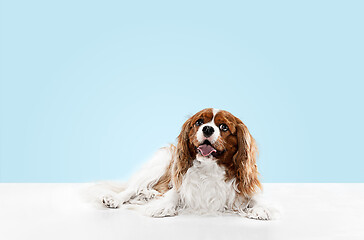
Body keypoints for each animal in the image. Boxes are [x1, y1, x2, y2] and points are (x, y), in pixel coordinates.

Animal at [101, 108, 272, 220]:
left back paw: (149, 194)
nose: (207, 128)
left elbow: (256, 199)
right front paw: (162, 206)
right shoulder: (181, 183)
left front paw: (261, 209)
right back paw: (115, 199)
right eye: (199, 122)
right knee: (133, 188)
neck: (210, 168)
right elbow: (174, 194)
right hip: (162, 159)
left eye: (224, 127)